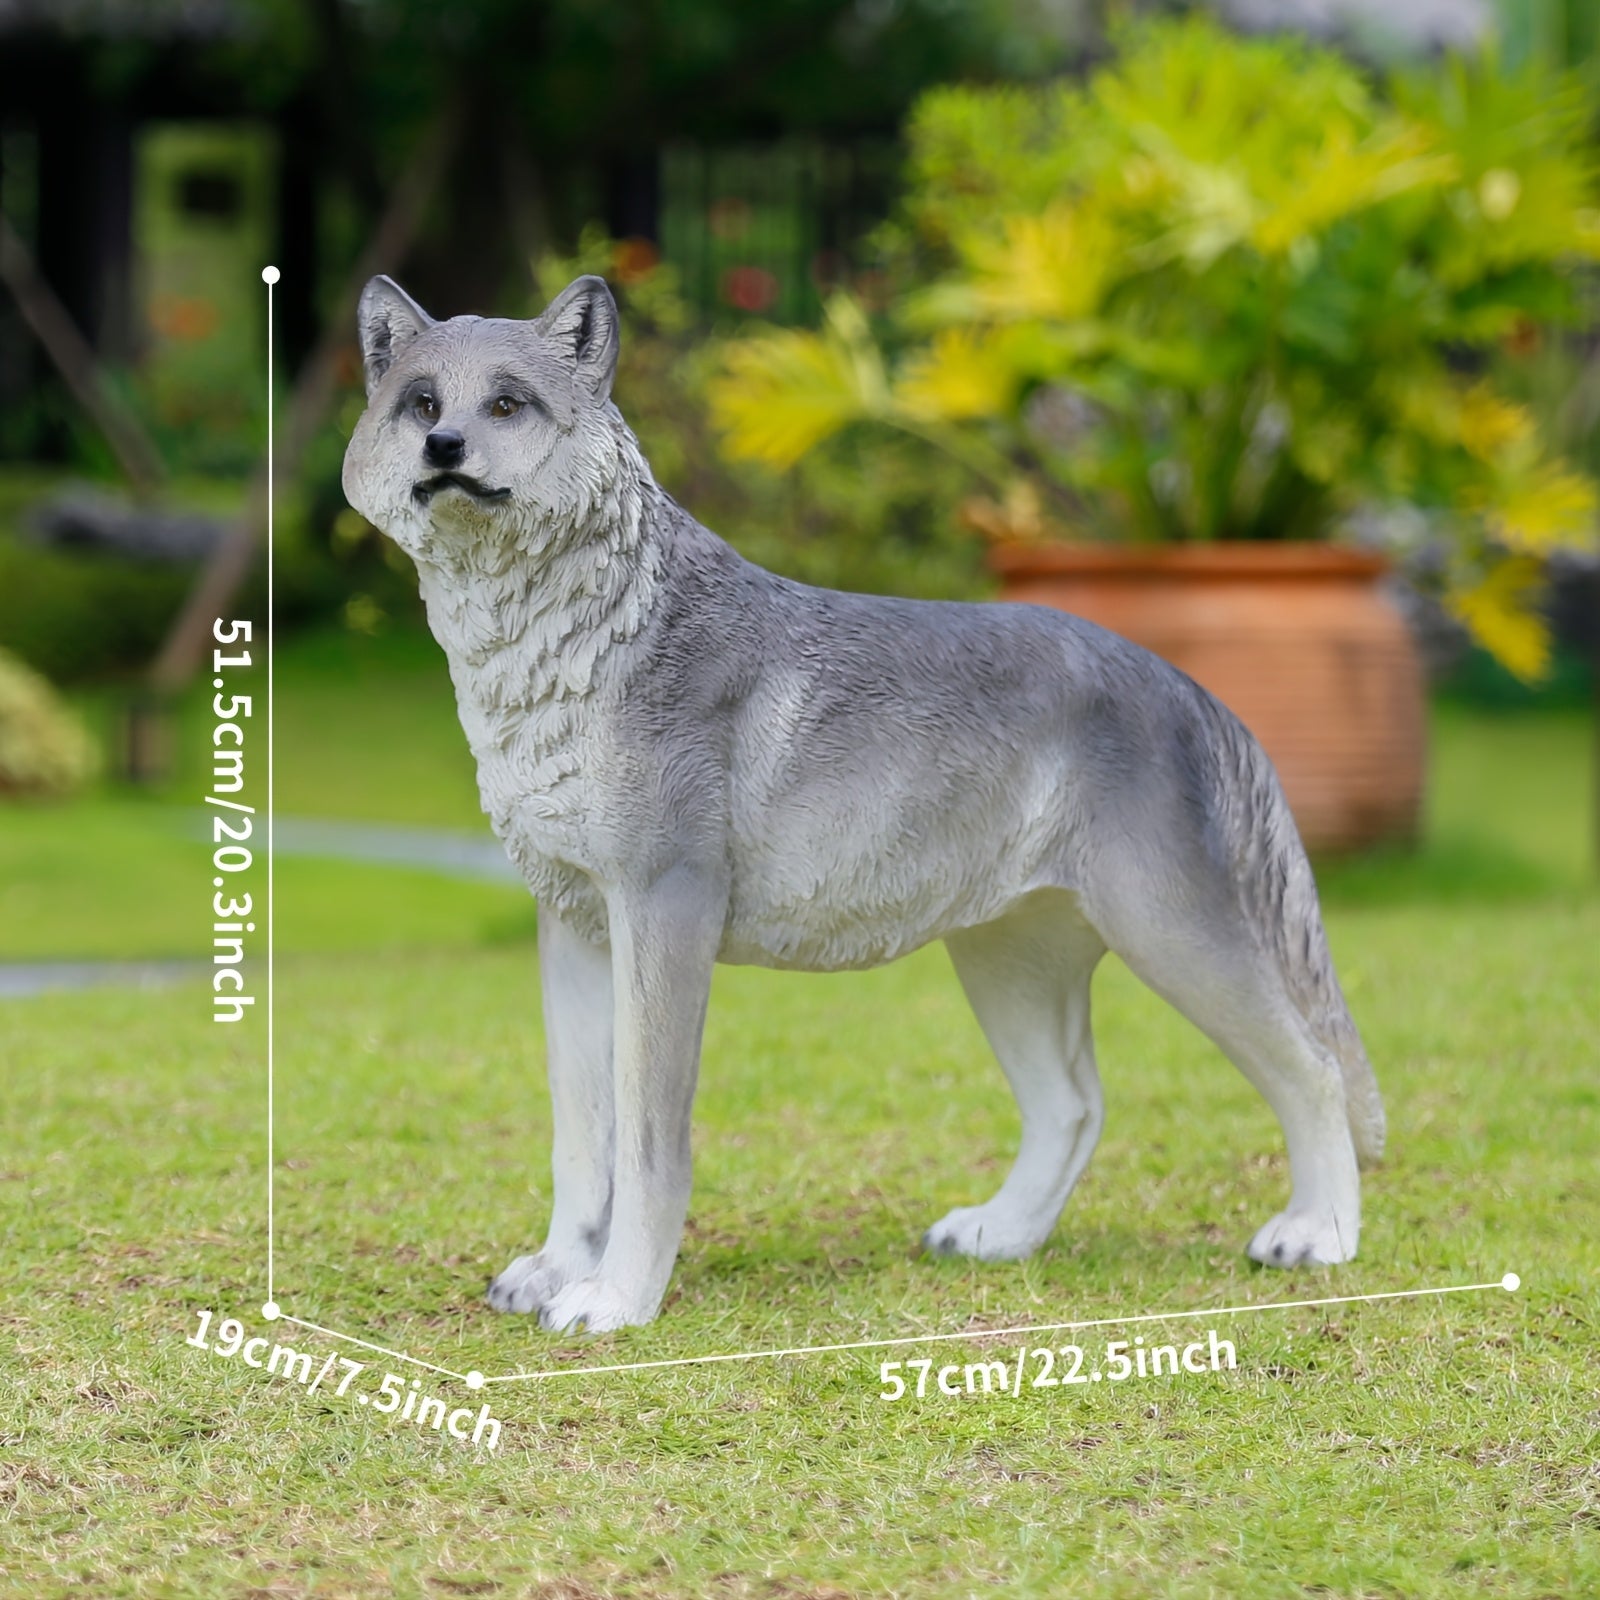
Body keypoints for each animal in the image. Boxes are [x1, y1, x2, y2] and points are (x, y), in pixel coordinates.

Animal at [341, 272, 1385, 1334]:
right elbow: (580, 1137)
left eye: (507, 405)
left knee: (1313, 1070)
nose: (444, 447)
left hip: (1174, 938)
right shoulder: (573, 923)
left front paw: (617, 1299)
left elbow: (646, 1143)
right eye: (422, 404)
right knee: (1075, 1104)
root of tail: (1183, 684)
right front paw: (558, 1272)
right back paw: (999, 1236)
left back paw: (1318, 1237)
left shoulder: (664, 912)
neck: (567, 648)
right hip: (1005, 961)